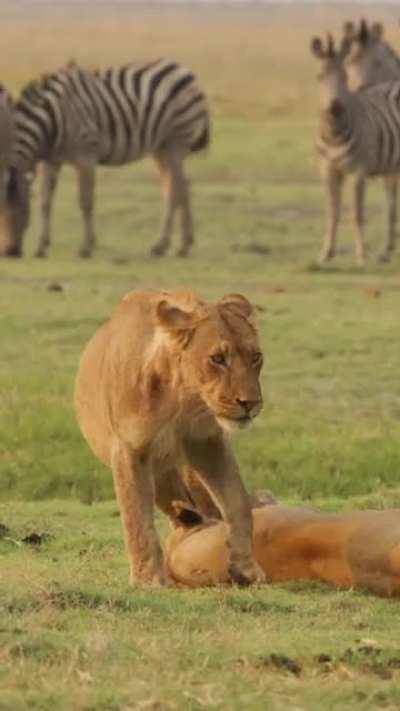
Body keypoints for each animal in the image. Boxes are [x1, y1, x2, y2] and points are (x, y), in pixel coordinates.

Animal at [74, 288, 266, 586]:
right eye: (218, 359)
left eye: (255, 357)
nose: (250, 403)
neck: (182, 398)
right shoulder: (130, 450)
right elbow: (137, 517)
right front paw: (148, 579)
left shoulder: (207, 442)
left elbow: (237, 503)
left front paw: (246, 568)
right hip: (161, 475)